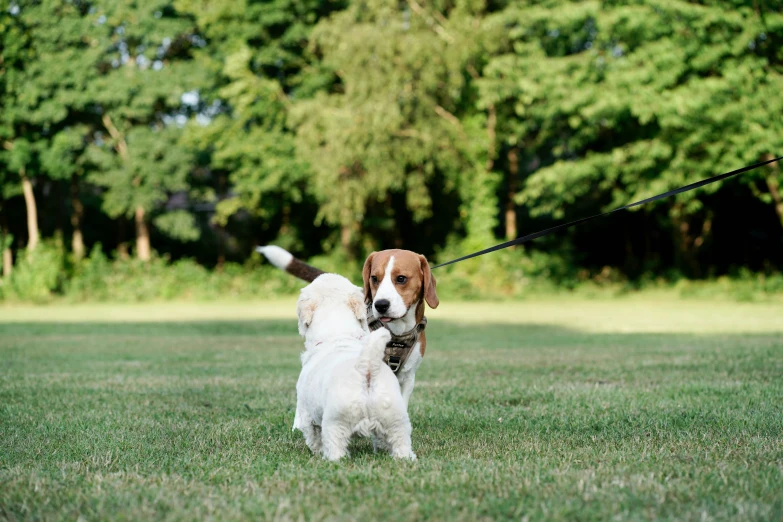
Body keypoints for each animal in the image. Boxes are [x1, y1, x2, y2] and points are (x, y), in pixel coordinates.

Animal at [292, 272, 416, 460]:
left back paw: (332, 459)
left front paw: (316, 451)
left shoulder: (307, 413)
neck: (337, 334)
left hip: (336, 422)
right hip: (396, 419)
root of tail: (367, 366)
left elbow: (312, 436)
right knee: (401, 444)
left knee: (335, 446)